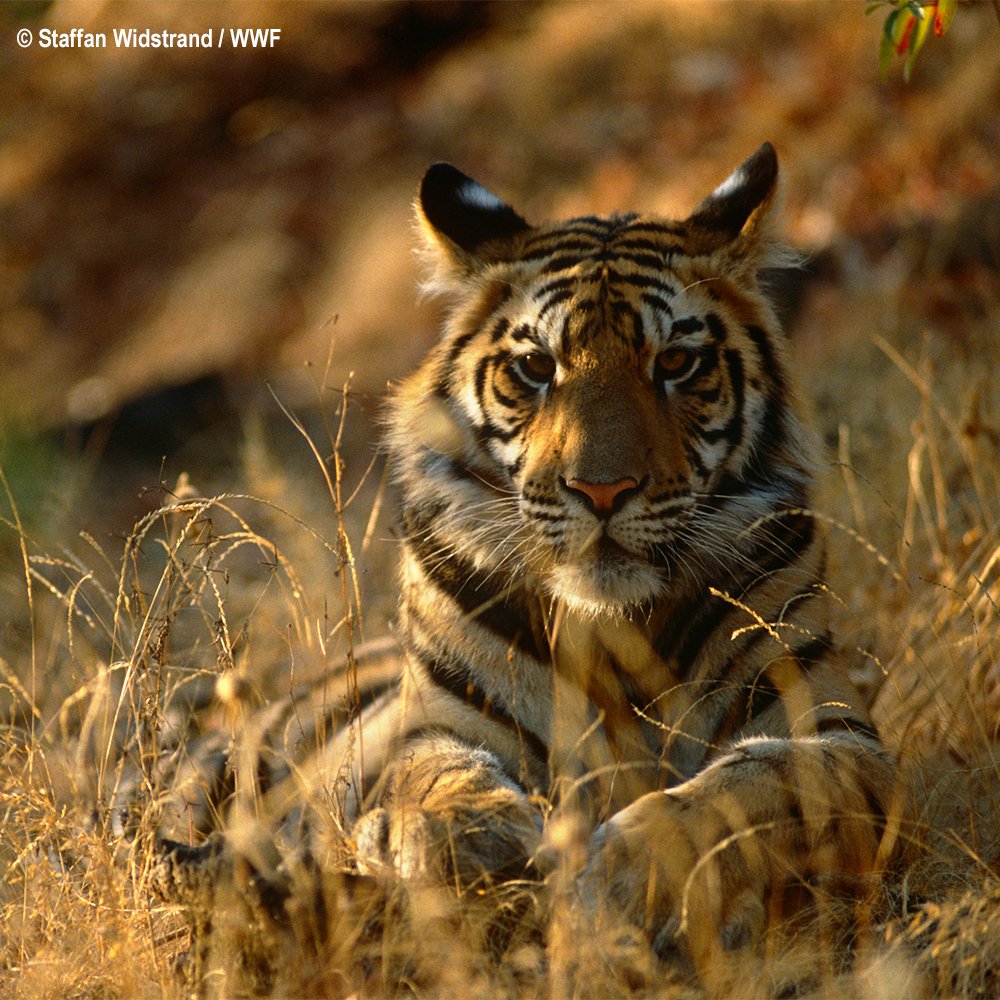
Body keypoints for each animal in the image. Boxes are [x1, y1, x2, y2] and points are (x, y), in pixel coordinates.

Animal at [152, 143, 898, 982]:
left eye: (675, 361)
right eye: (538, 367)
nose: (601, 489)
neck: (612, 630)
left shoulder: (838, 731)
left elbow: (750, 785)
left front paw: (624, 875)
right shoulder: (434, 723)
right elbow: (433, 780)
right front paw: (476, 852)